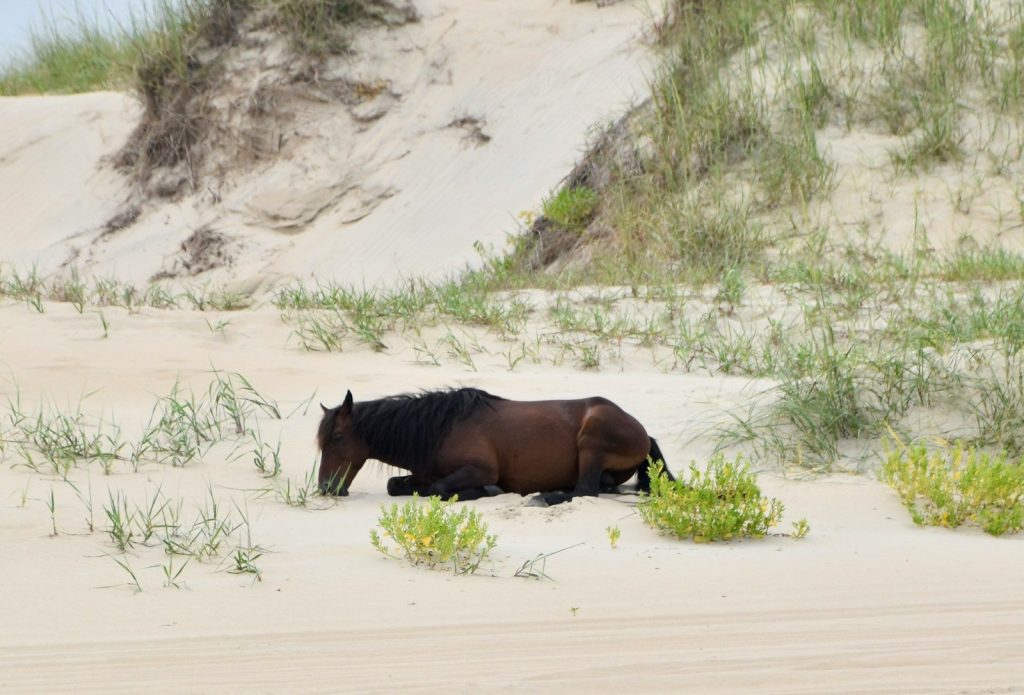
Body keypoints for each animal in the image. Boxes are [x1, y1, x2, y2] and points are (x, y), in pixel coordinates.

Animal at [315, 387, 671, 505]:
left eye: (337, 438)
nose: (326, 488)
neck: (439, 430)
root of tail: (644, 433)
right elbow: (396, 485)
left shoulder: (479, 469)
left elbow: (439, 489)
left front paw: (489, 491)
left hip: (593, 435)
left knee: (585, 491)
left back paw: (545, 496)